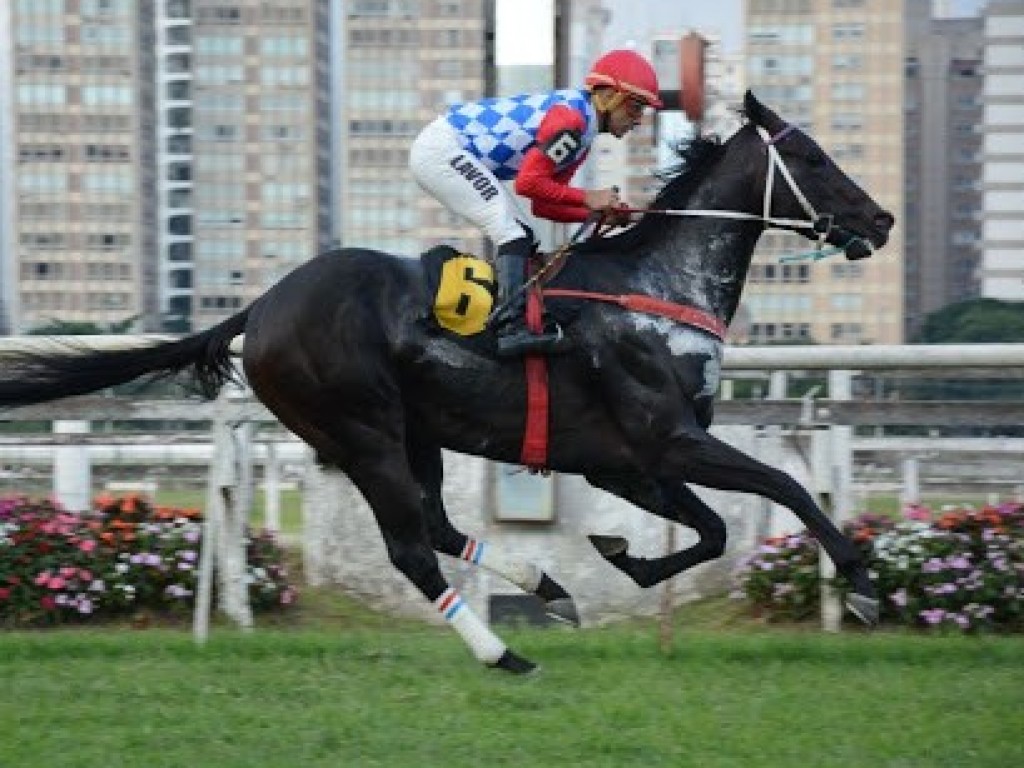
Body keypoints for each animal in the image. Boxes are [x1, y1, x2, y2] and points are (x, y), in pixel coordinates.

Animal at [0, 94, 888, 671]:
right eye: (811, 158)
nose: (879, 221)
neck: (657, 286)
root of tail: (262, 304)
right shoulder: (668, 440)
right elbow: (786, 490)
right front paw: (862, 584)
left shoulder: (627, 463)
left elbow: (714, 532)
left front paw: (620, 558)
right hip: (362, 431)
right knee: (408, 549)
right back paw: (501, 652)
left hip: (411, 432)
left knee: (432, 523)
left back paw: (543, 585)